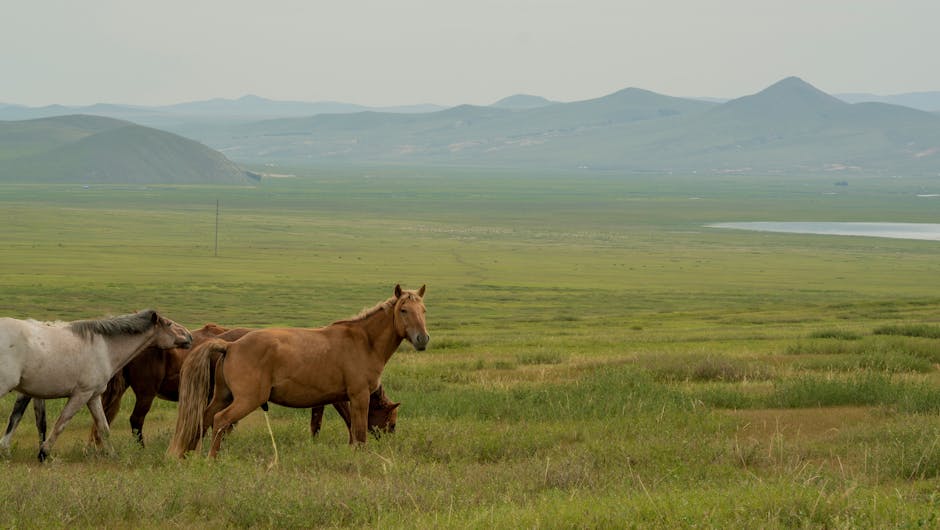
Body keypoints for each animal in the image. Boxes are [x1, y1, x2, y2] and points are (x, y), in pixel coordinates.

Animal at [0, 308, 191, 460]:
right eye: (169, 323)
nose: (189, 336)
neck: (104, 348)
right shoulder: (81, 394)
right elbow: (61, 422)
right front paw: (43, 453)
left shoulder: (93, 397)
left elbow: (103, 427)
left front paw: (112, 455)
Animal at [171, 282, 428, 456]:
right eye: (403, 310)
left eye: (424, 310)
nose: (422, 339)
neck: (364, 341)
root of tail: (231, 346)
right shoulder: (358, 397)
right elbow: (359, 434)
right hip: (246, 400)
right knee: (220, 420)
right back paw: (211, 459)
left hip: (223, 396)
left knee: (203, 419)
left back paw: (190, 456)